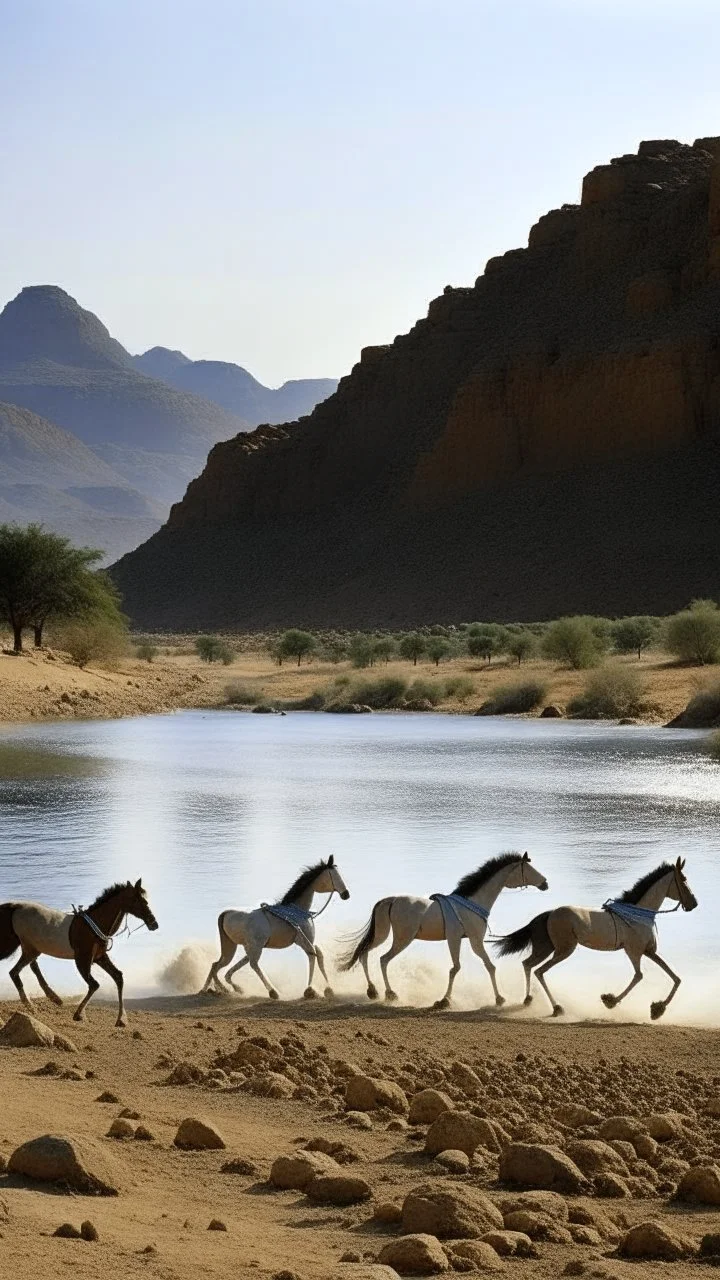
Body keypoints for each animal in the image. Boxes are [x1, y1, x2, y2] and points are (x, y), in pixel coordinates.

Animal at [0, 880, 157, 1029]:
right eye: (140, 901)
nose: (154, 924)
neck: (94, 926)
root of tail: (15, 906)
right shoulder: (82, 960)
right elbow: (94, 985)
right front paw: (79, 1014)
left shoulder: (100, 958)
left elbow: (118, 977)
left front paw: (121, 1020)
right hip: (27, 949)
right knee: (14, 972)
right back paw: (31, 1005)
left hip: (31, 948)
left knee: (30, 968)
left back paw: (53, 997)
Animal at [199, 855, 348, 1003]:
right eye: (334, 876)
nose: (346, 894)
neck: (298, 910)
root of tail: (227, 913)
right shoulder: (303, 941)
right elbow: (313, 956)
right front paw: (311, 990)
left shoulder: (309, 941)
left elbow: (319, 955)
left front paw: (327, 989)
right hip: (255, 947)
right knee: (252, 964)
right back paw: (272, 991)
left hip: (234, 947)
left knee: (219, 965)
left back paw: (214, 989)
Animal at [335, 849, 543, 1008]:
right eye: (529, 869)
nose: (545, 883)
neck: (472, 903)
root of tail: (390, 900)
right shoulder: (472, 940)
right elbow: (470, 967)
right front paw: (447, 1000)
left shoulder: (462, 940)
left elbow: (474, 967)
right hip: (402, 939)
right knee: (383, 959)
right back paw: (390, 993)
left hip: (382, 934)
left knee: (364, 953)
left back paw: (373, 991)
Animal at [497, 855, 691, 1024]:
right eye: (683, 880)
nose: (693, 903)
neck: (638, 915)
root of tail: (550, 913)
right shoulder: (634, 951)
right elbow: (638, 976)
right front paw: (610, 1001)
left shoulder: (648, 951)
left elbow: (675, 977)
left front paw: (657, 1009)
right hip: (564, 949)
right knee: (539, 971)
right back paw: (556, 1007)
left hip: (547, 947)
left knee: (528, 964)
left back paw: (528, 1000)